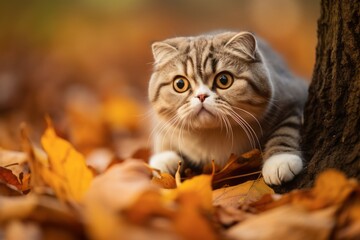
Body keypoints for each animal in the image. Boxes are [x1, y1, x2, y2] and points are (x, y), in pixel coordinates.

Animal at [148, 31, 308, 186]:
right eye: (180, 84)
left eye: (224, 80)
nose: (201, 96)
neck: (212, 133)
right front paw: (164, 158)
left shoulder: (294, 95)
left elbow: (286, 128)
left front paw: (280, 160)